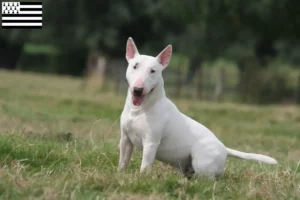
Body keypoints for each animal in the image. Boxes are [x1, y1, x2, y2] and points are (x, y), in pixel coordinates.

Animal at [116, 37, 276, 178]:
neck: (140, 110)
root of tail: (224, 149)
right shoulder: (125, 139)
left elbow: (145, 165)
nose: (138, 90)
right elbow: (123, 160)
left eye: (153, 71)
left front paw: (142, 177)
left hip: (201, 162)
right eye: (135, 66)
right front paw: (120, 174)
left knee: (207, 179)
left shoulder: (151, 143)